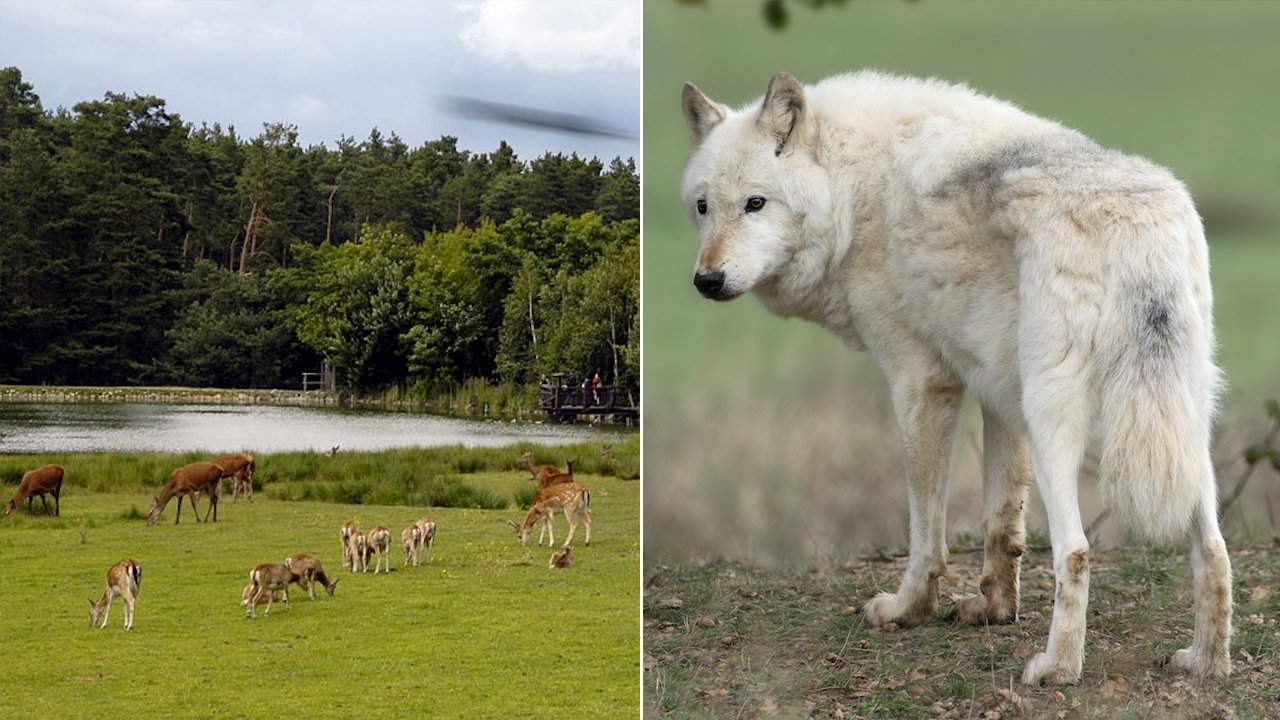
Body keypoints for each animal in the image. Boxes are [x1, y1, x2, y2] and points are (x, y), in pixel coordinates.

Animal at [679, 70, 1231, 685]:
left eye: (756, 203)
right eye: (703, 207)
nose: (707, 280)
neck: (852, 189)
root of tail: (1136, 227)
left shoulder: (921, 383)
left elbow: (926, 533)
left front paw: (906, 609)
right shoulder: (997, 393)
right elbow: (1001, 525)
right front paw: (994, 610)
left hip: (1058, 427)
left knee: (1076, 551)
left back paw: (1056, 670)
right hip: (1180, 430)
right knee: (1213, 548)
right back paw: (1206, 662)